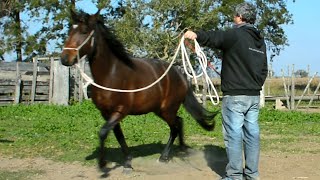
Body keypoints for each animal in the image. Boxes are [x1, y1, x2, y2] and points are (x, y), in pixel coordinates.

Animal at [60, 10, 218, 172]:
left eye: (84, 31)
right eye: (70, 30)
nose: (65, 58)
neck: (111, 74)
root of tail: (180, 75)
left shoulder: (120, 111)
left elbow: (103, 132)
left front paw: (103, 164)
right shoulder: (106, 113)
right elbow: (118, 135)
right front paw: (127, 162)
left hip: (167, 109)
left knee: (175, 126)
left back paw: (164, 157)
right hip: (159, 110)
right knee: (178, 122)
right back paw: (181, 149)